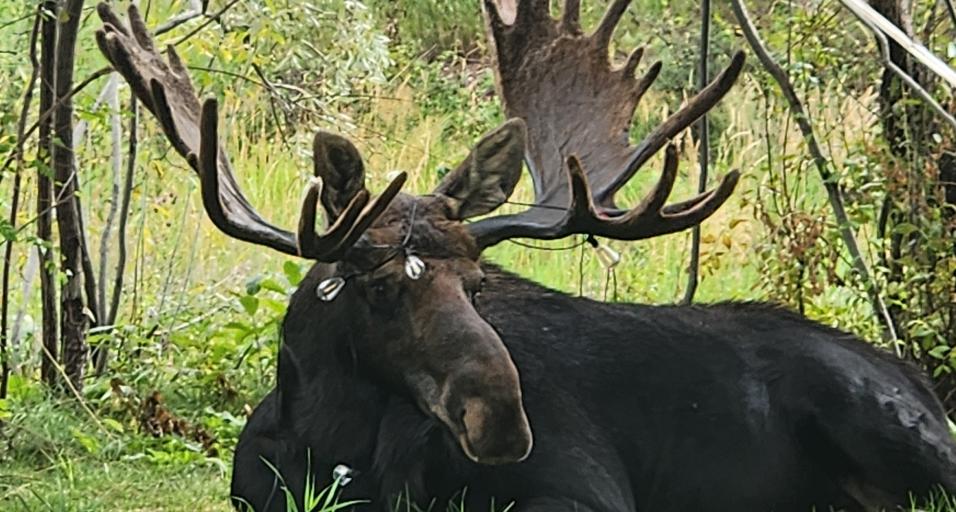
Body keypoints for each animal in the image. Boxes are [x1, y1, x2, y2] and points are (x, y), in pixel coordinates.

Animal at [95, 1, 956, 511]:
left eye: (479, 283)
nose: (502, 420)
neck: (326, 445)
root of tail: (918, 381)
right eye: (377, 285)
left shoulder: (584, 491)